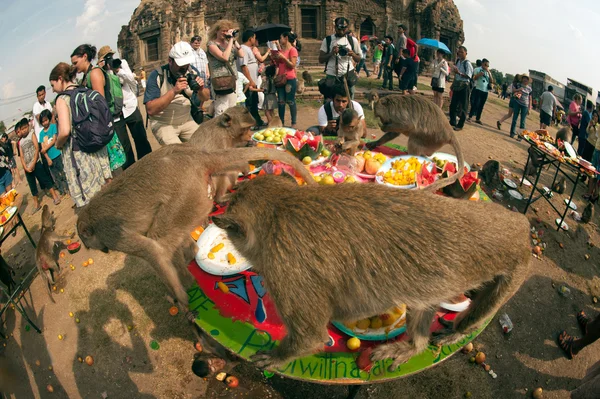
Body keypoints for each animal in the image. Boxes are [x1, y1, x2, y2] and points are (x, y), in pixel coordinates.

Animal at [77, 145, 316, 320]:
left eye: (91, 243)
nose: (102, 250)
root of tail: (195, 156)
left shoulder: (112, 234)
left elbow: (152, 250)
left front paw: (180, 299)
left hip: (187, 193)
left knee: (159, 239)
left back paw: (184, 280)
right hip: (196, 198)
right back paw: (190, 254)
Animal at [213, 175, 532, 372]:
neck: (280, 208)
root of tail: (520, 223)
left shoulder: (285, 267)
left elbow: (310, 337)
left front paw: (279, 357)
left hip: (518, 268)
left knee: (480, 309)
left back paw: (458, 331)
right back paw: (414, 346)